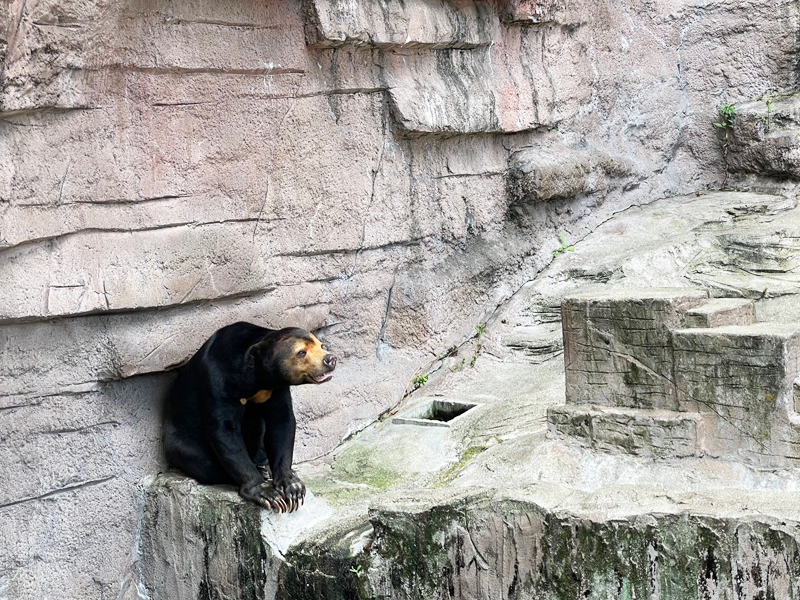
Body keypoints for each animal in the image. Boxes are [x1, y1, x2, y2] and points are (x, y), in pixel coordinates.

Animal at [162, 322, 338, 512]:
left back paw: (265, 465)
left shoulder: (275, 389)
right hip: (178, 439)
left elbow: (281, 420)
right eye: (301, 352)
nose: (330, 359)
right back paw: (260, 471)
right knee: (199, 459)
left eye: (322, 345)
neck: (258, 378)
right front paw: (266, 493)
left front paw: (292, 486)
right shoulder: (217, 382)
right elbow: (225, 432)